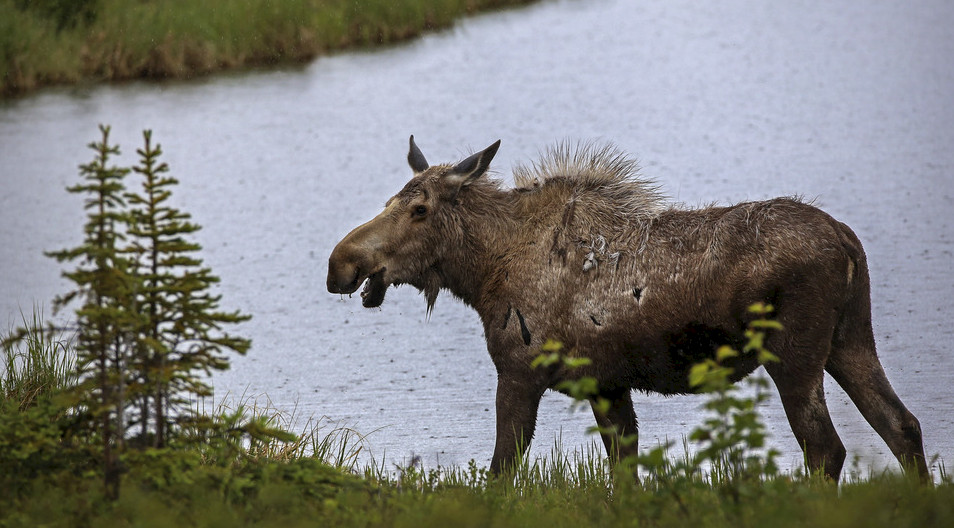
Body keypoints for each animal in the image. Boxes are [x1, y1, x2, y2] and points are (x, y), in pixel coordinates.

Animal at [326, 137, 924, 482]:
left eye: (420, 209)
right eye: (391, 200)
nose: (341, 263)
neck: (482, 275)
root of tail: (847, 241)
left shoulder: (519, 373)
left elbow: (500, 471)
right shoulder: (607, 384)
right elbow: (625, 474)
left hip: (794, 354)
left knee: (826, 449)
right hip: (849, 339)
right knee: (902, 425)